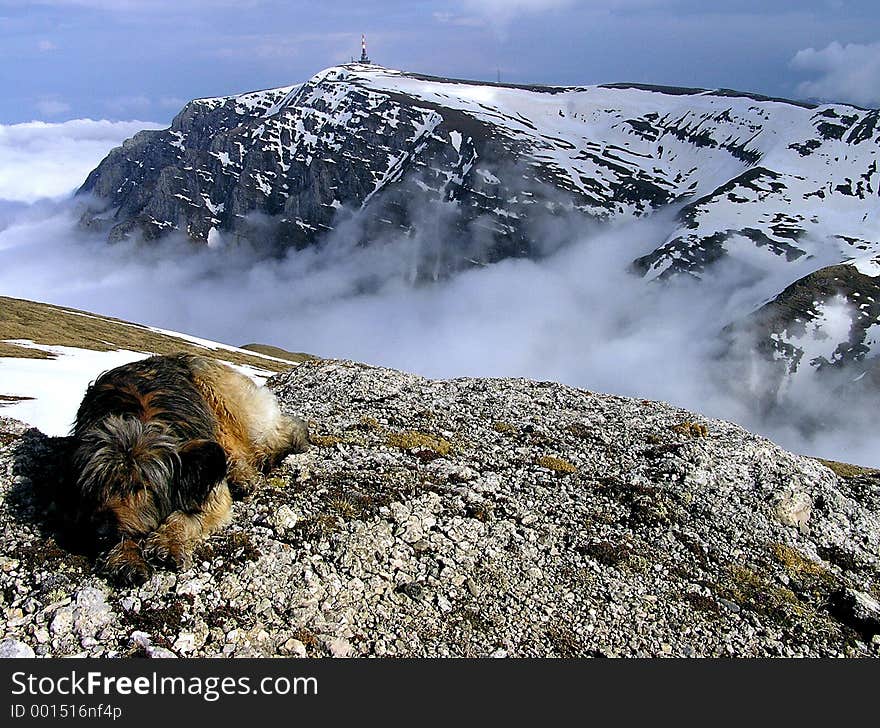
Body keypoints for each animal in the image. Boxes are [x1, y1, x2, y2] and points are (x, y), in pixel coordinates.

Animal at [69, 352, 310, 584]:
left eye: (142, 487)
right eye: (97, 483)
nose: (100, 531)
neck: (141, 419)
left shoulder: (206, 477)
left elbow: (194, 512)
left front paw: (167, 542)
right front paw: (125, 556)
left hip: (226, 402)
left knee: (273, 435)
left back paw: (247, 471)